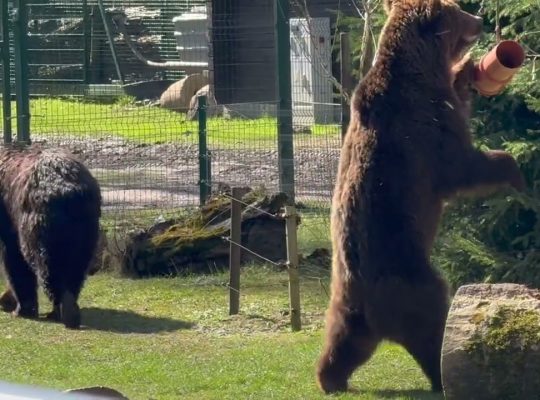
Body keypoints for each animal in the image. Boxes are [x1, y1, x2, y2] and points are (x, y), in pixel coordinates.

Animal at [0, 145, 101, 330]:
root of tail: (69, 190)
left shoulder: (10, 221)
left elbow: (15, 262)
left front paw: (19, 307)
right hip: (86, 226)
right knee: (76, 268)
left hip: (40, 222)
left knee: (45, 265)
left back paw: (62, 311)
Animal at [316, 0, 524, 394]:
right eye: (458, 12)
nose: (480, 19)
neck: (422, 64)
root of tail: (367, 308)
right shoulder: (423, 127)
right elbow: (461, 165)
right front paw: (513, 168)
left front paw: (467, 72)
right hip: (413, 278)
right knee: (432, 330)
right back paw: (441, 378)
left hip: (343, 304)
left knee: (342, 342)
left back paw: (330, 378)